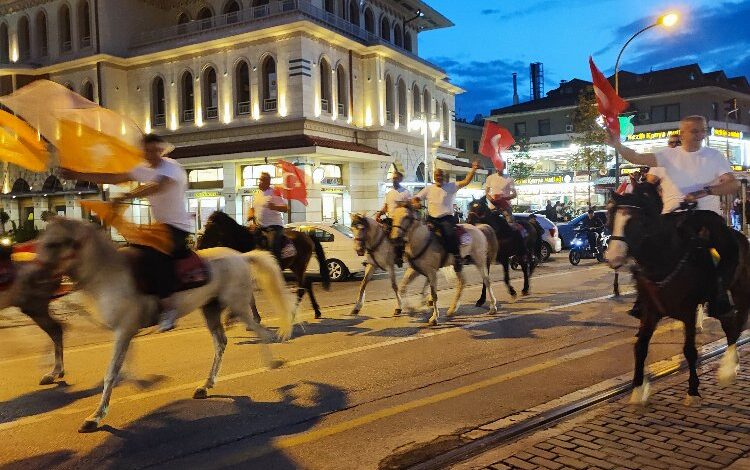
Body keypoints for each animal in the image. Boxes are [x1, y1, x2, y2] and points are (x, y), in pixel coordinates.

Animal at [35, 218, 296, 434]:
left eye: (55, 243)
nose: (37, 276)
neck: (109, 275)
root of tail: (241, 257)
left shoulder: (123, 330)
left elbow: (111, 372)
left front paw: (95, 417)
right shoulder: (124, 330)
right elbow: (119, 365)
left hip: (238, 304)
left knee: (259, 329)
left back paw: (273, 362)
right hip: (210, 309)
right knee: (221, 342)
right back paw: (205, 386)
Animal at [197, 212, 332, 320]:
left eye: (211, 227)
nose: (198, 246)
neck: (246, 243)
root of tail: (307, 236)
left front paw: (253, 317)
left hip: (299, 266)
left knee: (302, 288)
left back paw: (293, 313)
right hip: (295, 266)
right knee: (307, 284)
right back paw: (317, 311)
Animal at [608, 183, 748, 404]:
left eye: (636, 221)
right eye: (611, 216)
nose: (613, 256)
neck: (665, 259)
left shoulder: (688, 311)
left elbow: (689, 350)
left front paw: (693, 390)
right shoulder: (651, 311)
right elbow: (640, 347)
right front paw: (638, 390)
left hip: (740, 291)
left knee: (737, 322)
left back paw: (728, 368)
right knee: (729, 324)